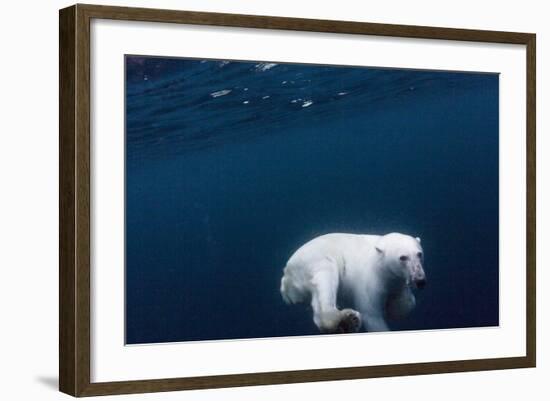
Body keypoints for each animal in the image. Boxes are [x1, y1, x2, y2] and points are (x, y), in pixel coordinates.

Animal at [280, 231, 426, 332]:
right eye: (403, 257)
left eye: (419, 254)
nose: (420, 280)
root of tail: (286, 276)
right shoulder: (370, 282)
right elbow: (371, 314)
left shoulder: (396, 283)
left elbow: (403, 307)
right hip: (314, 262)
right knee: (326, 279)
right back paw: (349, 320)